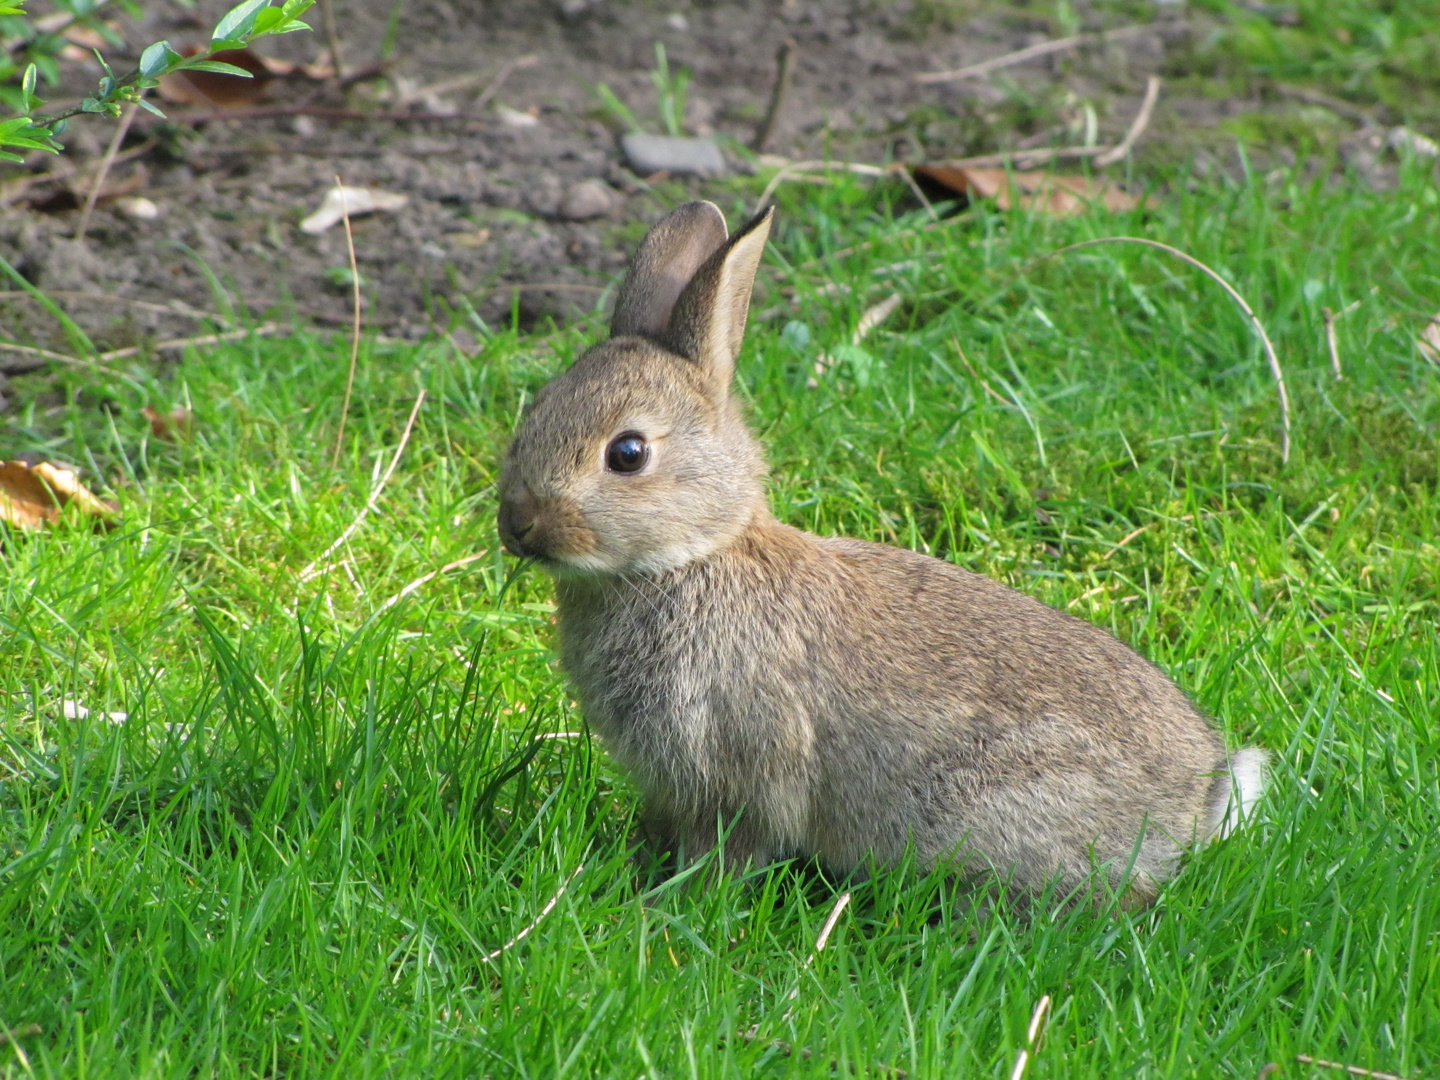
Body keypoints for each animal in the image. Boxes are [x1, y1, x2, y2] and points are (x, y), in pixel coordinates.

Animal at [501, 201, 1267, 904]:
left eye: (627, 453)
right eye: (532, 412)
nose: (517, 524)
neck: (694, 556)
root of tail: (1196, 804)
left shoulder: (739, 772)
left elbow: (732, 847)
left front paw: (676, 904)